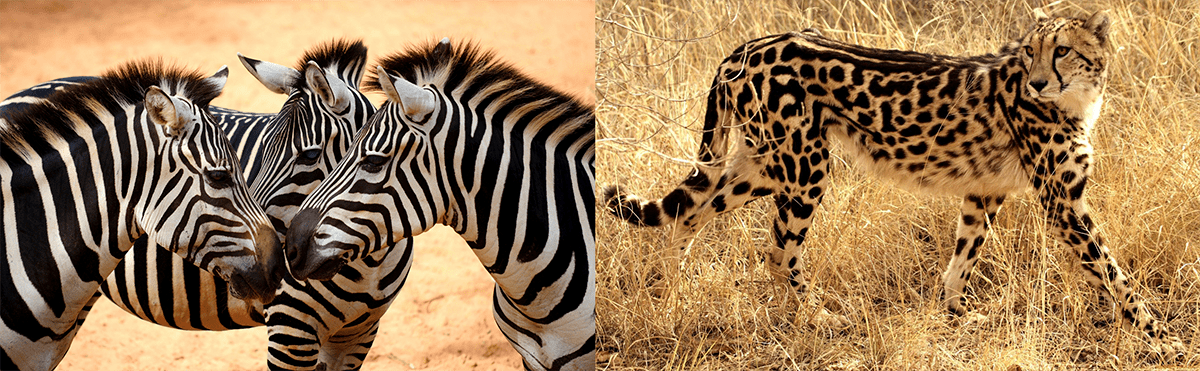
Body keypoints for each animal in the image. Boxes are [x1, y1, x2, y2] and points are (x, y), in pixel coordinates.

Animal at [604, 10, 1185, 352]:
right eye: (1030, 53)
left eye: (1062, 50)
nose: (1040, 81)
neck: (1076, 99)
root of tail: (748, 45)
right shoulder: (1063, 202)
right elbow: (1113, 272)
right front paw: (1159, 337)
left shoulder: (985, 191)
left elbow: (963, 257)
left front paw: (954, 314)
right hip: (803, 165)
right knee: (777, 251)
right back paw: (816, 317)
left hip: (762, 165)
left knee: (690, 210)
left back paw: (670, 293)